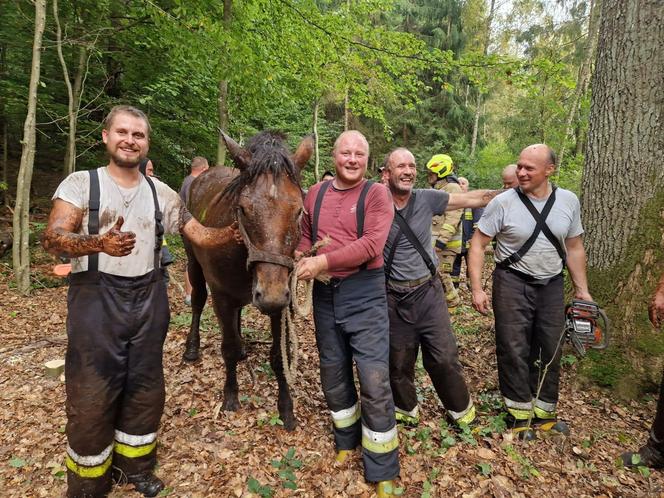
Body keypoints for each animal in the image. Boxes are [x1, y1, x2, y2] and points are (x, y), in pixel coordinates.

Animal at [182, 130, 314, 430]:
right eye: (242, 209)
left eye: (299, 211)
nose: (271, 295)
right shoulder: (222, 296)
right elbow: (227, 348)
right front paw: (230, 397)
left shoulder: (280, 303)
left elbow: (279, 356)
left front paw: (286, 407)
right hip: (194, 264)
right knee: (197, 301)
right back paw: (192, 348)